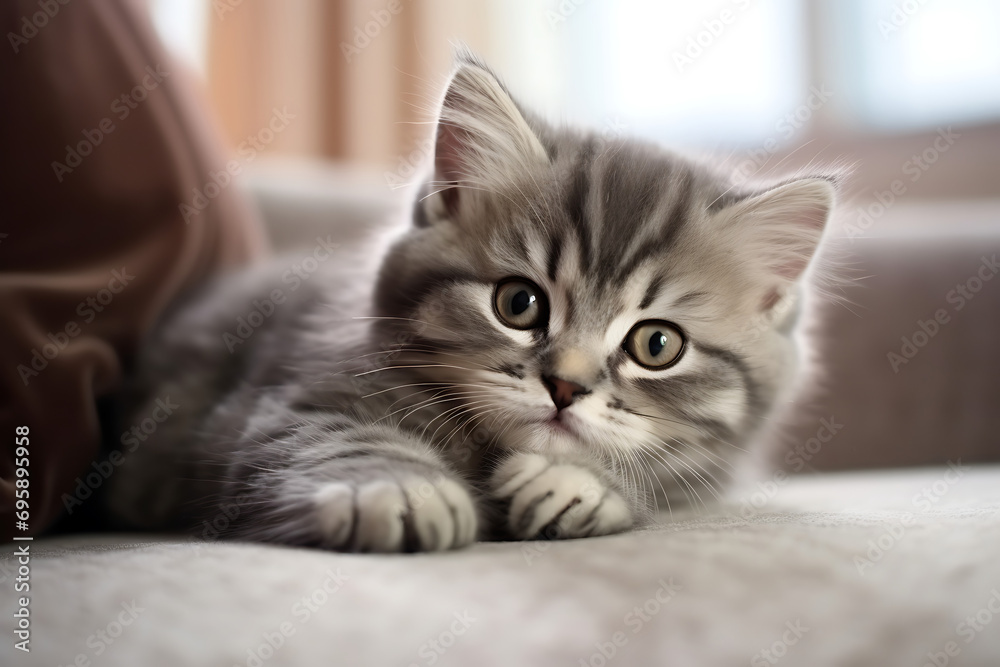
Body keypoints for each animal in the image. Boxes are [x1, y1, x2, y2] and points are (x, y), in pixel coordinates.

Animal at [105, 53, 836, 552]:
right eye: (519, 303)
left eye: (657, 345)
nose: (565, 387)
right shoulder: (271, 402)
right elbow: (329, 435)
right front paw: (398, 487)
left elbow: (656, 475)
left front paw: (583, 482)